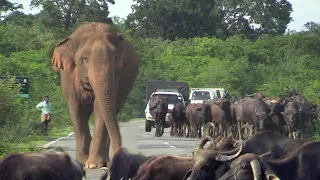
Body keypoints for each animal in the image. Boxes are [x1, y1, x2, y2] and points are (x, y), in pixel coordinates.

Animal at [50, 22, 139, 169]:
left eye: (115, 58)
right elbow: (76, 111)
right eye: (84, 59)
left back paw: (105, 161)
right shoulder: (68, 77)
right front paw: (82, 162)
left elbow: (100, 109)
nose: (120, 156)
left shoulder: (117, 74)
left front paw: (93, 165)